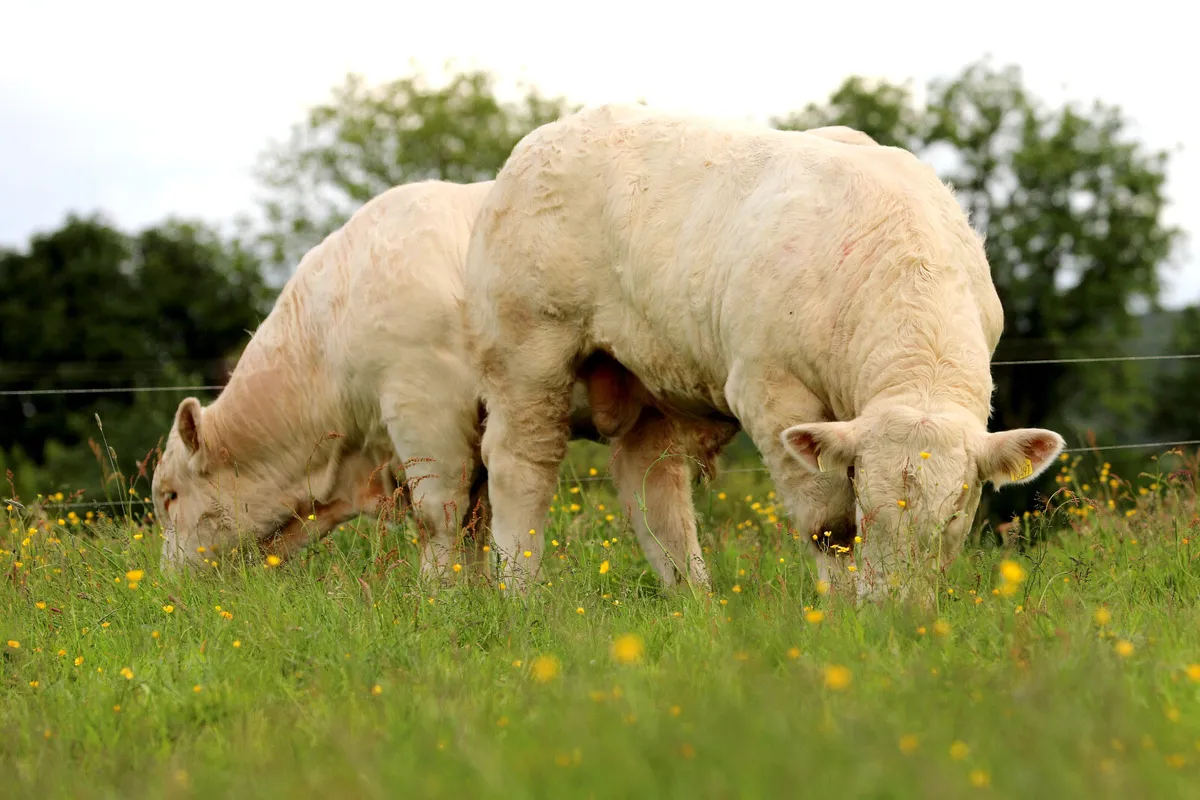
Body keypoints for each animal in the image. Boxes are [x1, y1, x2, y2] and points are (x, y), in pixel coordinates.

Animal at [462, 103, 1065, 603]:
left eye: (955, 515)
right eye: (867, 505)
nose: (898, 609)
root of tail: (543, 137)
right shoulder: (769, 389)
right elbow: (829, 525)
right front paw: (841, 610)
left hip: (647, 373)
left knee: (652, 484)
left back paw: (694, 601)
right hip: (529, 352)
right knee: (523, 465)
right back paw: (521, 595)